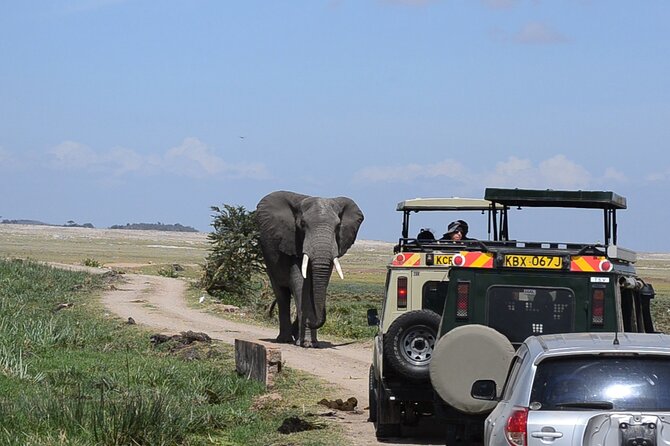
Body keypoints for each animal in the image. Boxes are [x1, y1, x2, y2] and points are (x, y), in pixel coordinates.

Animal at [256, 190, 364, 346]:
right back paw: (284, 339)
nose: (309, 323)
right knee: (282, 295)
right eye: (302, 224)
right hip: (268, 259)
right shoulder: (293, 241)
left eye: (338, 226)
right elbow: (301, 284)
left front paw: (311, 343)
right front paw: (307, 344)